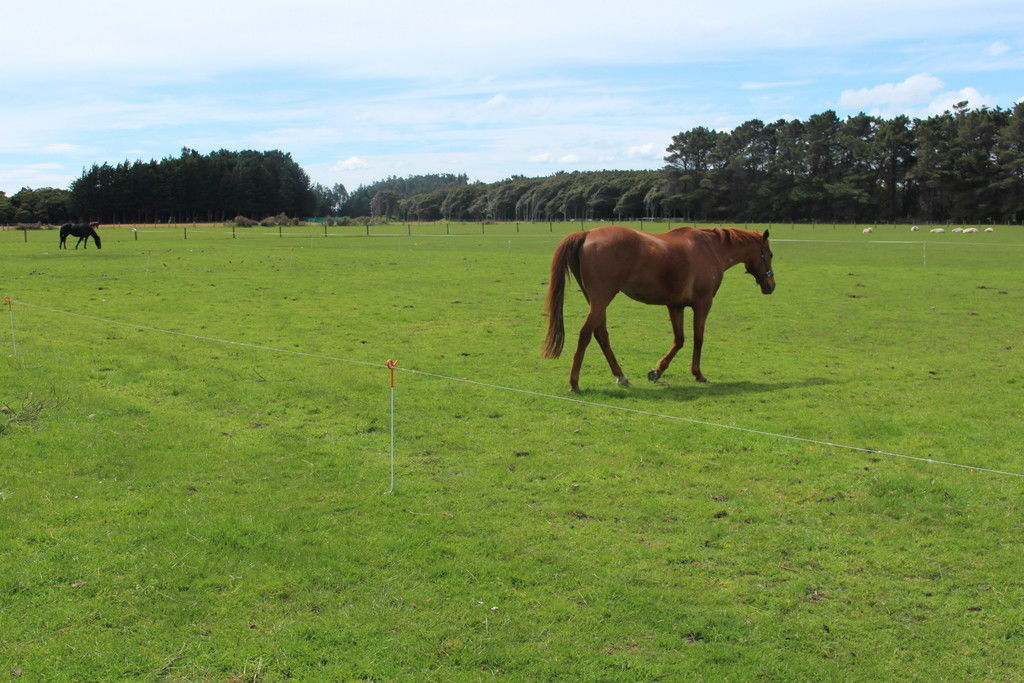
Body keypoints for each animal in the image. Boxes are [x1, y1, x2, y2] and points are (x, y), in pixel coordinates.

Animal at [544, 227, 774, 393]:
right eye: (770, 255)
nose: (771, 286)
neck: (711, 248)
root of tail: (587, 234)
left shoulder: (676, 306)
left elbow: (679, 340)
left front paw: (657, 371)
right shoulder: (703, 304)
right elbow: (698, 338)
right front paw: (698, 374)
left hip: (596, 302)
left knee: (600, 334)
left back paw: (621, 376)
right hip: (601, 300)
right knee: (586, 334)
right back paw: (574, 382)